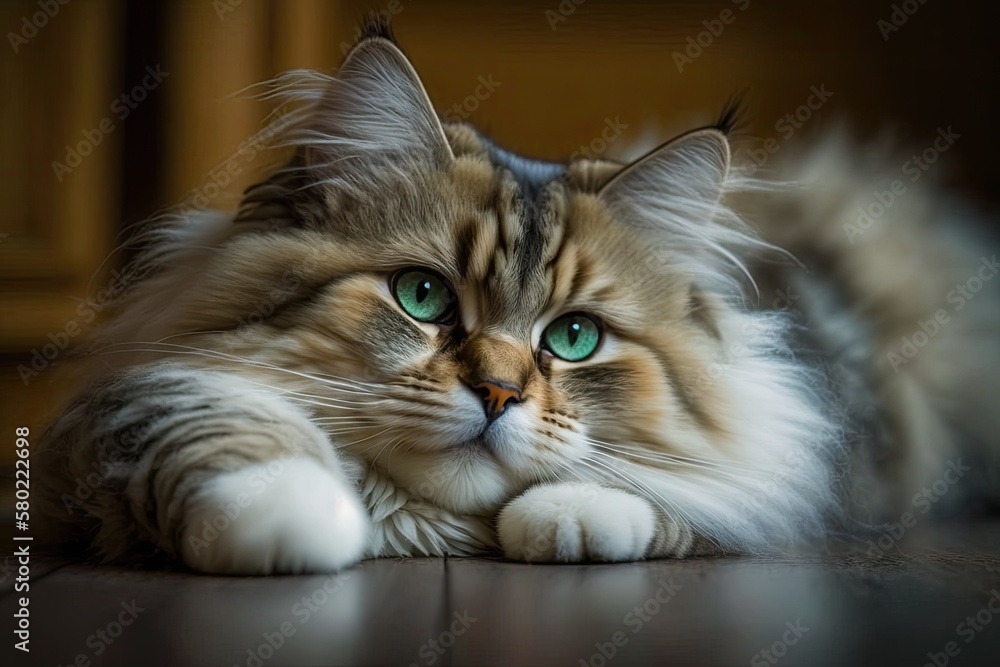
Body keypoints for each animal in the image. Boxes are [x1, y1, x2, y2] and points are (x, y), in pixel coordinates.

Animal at [33, 22, 1000, 576]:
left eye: (573, 338)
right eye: (422, 295)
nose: (497, 393)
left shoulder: (788, 451)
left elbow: (683, 493)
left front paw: (569, 517)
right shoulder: (110, 418)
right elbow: (217, 421)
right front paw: (296, 520)